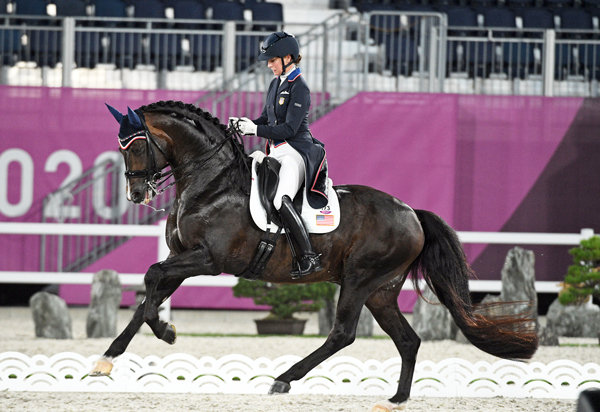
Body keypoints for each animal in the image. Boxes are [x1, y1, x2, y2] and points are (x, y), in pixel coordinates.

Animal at [92, 100, 540, 412]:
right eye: (121, 147)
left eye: (136, 146)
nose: (137, 193)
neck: (211, 183)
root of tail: (412, 212)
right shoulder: (183, 257)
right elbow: (148, 295)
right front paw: (107, 359)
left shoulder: (209, 260)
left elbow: (151, 278)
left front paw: (166, 333)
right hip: (381, 290)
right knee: (407, 340)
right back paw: (395, 399)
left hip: (360, 280)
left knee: (343, 333)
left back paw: (283, 379)